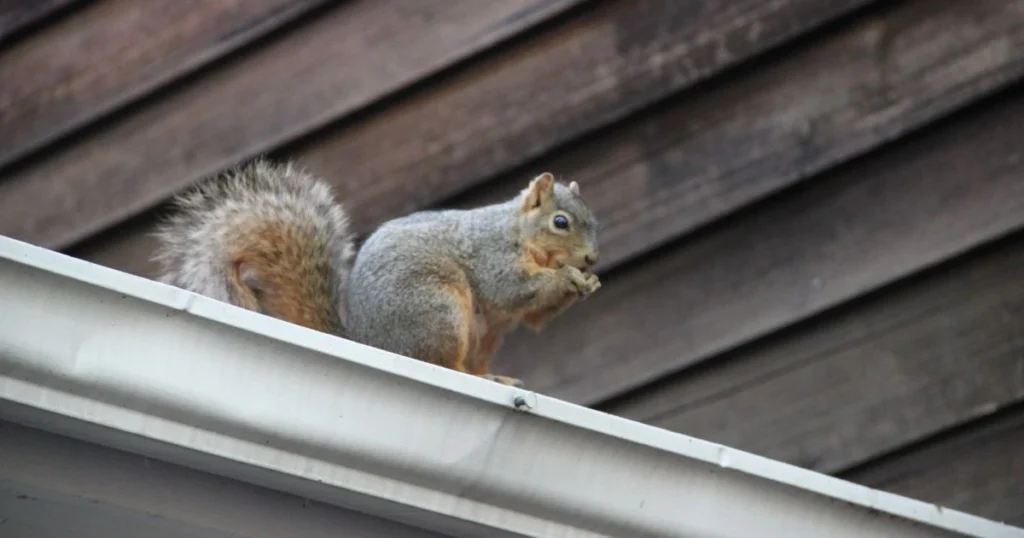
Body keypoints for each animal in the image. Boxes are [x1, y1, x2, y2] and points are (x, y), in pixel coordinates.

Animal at [151, 157, 598, 387]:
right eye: (560, 222)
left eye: (594, 222)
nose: (592, 259)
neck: (518, 232)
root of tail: (369, 342)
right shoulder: (492, 255)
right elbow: (512, 289)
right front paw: (568, 278)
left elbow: (534, 316)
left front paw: (587, 284)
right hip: (437, 310)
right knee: (440, 362)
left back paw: (494, 378)